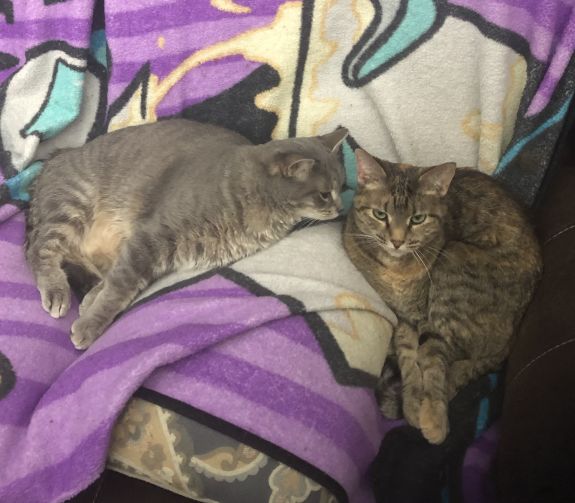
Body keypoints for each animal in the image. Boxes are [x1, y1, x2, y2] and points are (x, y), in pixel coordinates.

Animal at [26, 119, 348, 350]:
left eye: (342, 186)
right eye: (324, 194)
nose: (340, 208)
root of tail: (56, 156)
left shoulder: (148, 252)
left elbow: (118, 282)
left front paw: (91, 303)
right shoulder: (149, 236)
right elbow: (119, 288)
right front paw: (90, 325)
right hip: (70, 204)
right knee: (40, 249)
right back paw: (56, 290)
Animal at [343, 148, 541, 444]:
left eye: (418, 219)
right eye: (380, 214)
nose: (397, 241)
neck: (396, 271)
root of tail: (513, 336)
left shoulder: (425, 315)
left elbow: (431, 359)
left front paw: (433, 417)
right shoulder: (403, 318)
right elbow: (408, 356)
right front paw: (413, 403)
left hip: (453, 262)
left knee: (449, 357)